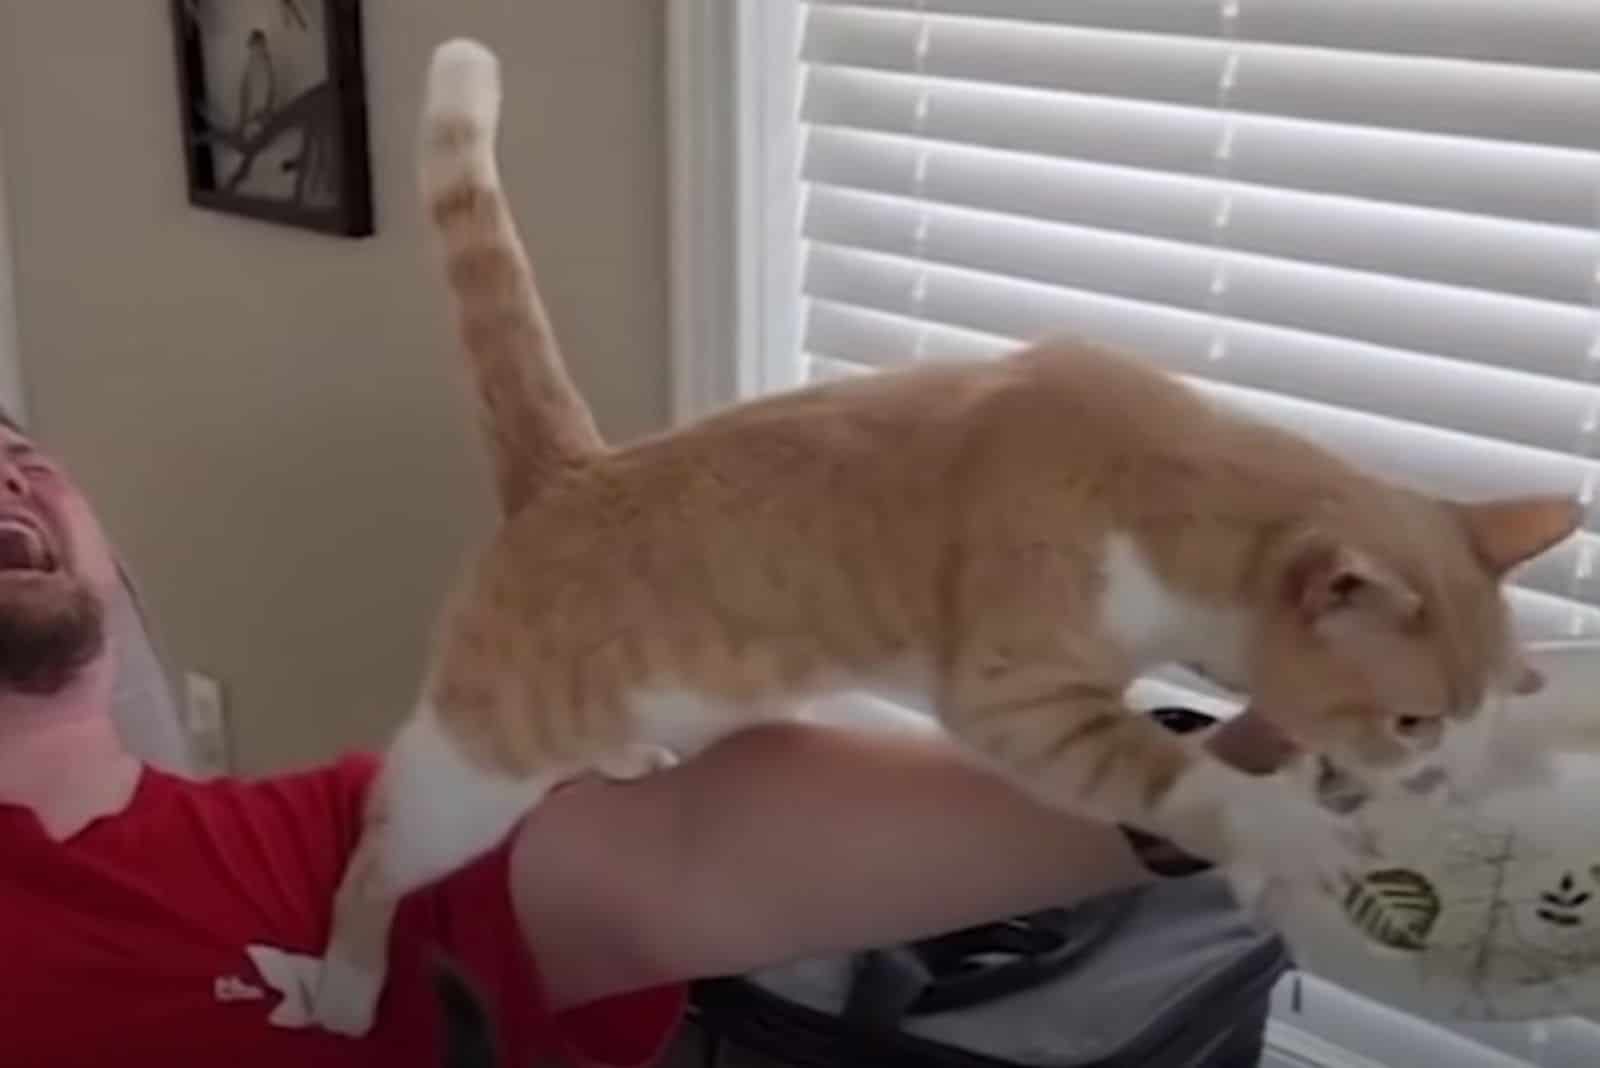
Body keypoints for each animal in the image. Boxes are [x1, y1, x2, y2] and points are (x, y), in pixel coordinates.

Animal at [308, 41, 1574, 1036]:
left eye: (1488, 709)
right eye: (1414, 719)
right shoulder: (1014, 694)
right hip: (473, 770)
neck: (1163, 479)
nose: (1450, 776)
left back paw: (621, 760)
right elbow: (1160, 763)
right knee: (379, 841)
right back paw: (342, 981)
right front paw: (1280, 823)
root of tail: (571, 469)